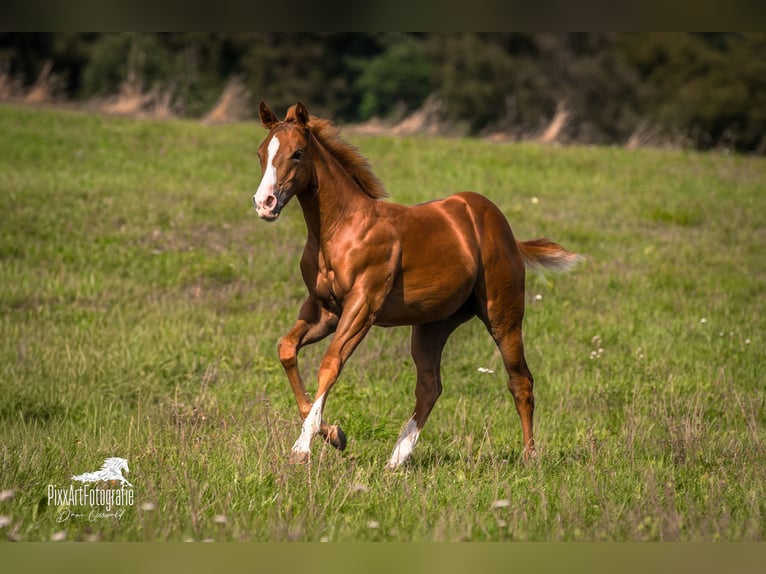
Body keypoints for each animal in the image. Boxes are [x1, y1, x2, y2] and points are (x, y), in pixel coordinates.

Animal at [253, 101, 580, 469]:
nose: (264, 203)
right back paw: (396, 460)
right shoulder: (323, 310)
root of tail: (506, 231)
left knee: (520, 380)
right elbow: (286, 349)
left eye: (297, 153)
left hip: (503, 315)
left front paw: (302, 447)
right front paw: (335, 434)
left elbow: (330, 364)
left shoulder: (362, 307)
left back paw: (530, 456)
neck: (341, 229)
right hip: (432, 325)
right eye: (261, 153)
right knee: (429, 386)